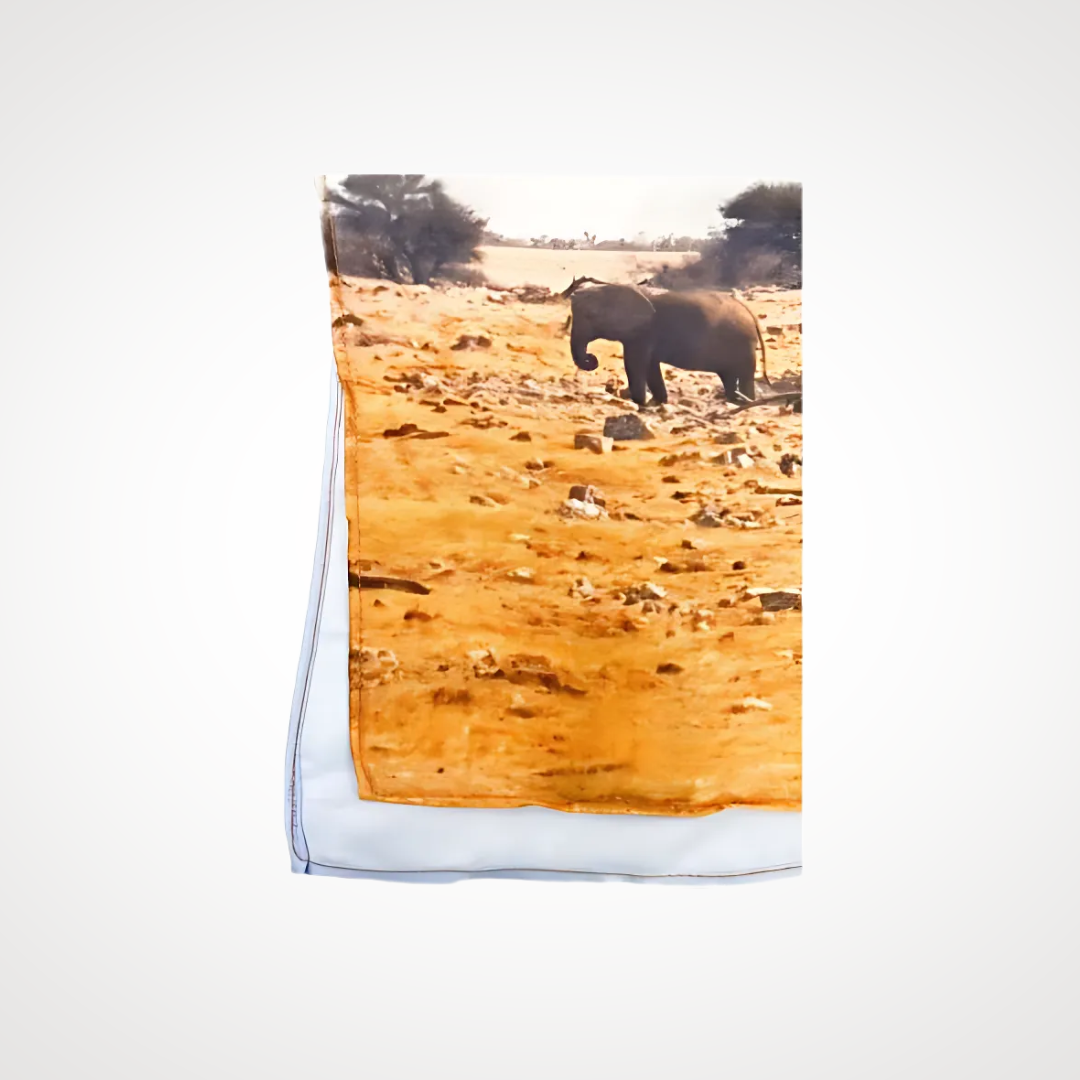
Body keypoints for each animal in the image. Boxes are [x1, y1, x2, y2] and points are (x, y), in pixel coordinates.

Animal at [566, 282, 769, 407]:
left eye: (590, 316)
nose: (592, 358)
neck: (610, 287)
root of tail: (751, 314)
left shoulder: (643, 332)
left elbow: (635, 363)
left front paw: (640, 403)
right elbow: (650, 365)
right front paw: (659, 402)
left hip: (743, 344)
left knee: (744, 375)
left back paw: (746, 403)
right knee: (729, 376)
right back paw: (735, 401)